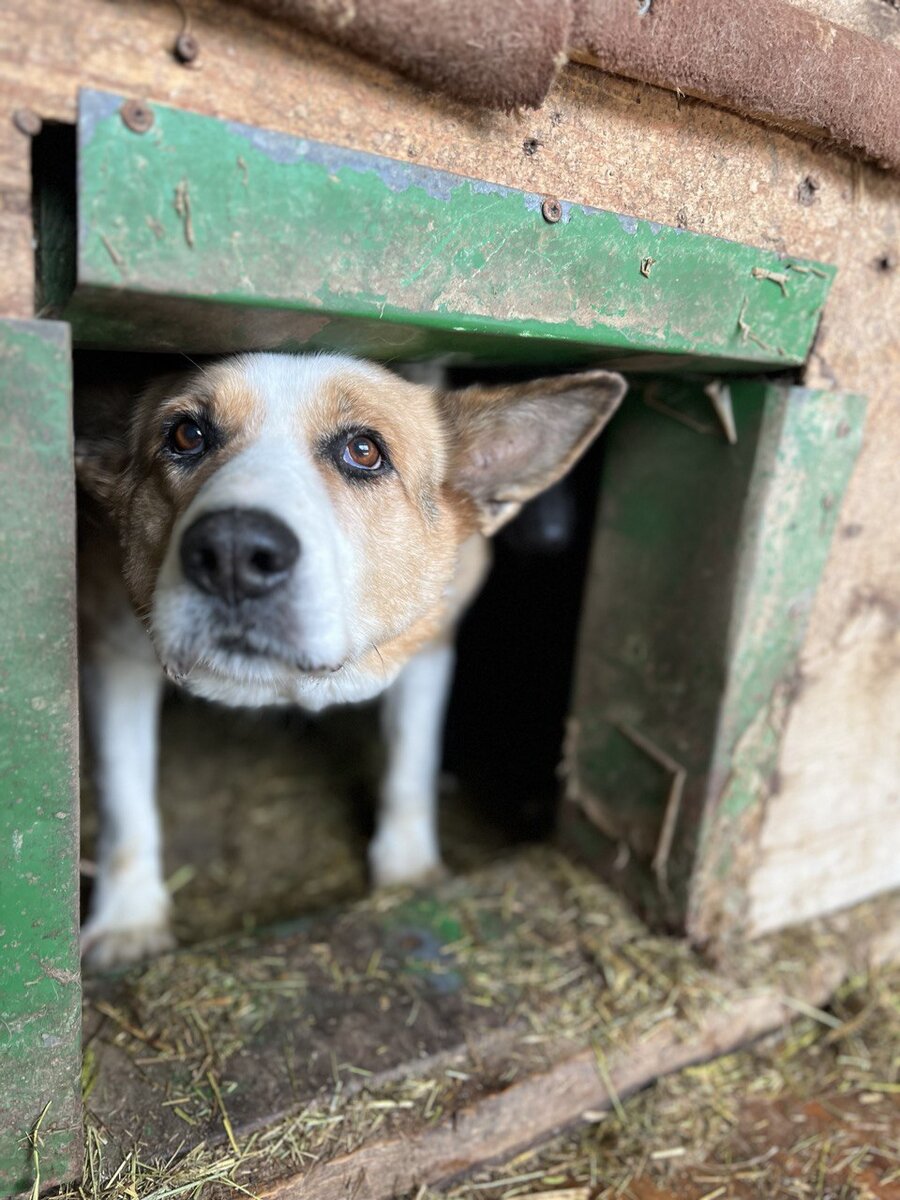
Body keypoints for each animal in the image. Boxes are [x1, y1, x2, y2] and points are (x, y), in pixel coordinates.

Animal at [77, 352, 624, 964]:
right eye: (186, 435)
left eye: (363, 451)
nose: (235, 554)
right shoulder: (113, 652)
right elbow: (125, 798)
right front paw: (128, 921)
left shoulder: (432, 643)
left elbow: (411, 762)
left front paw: (408, 871)